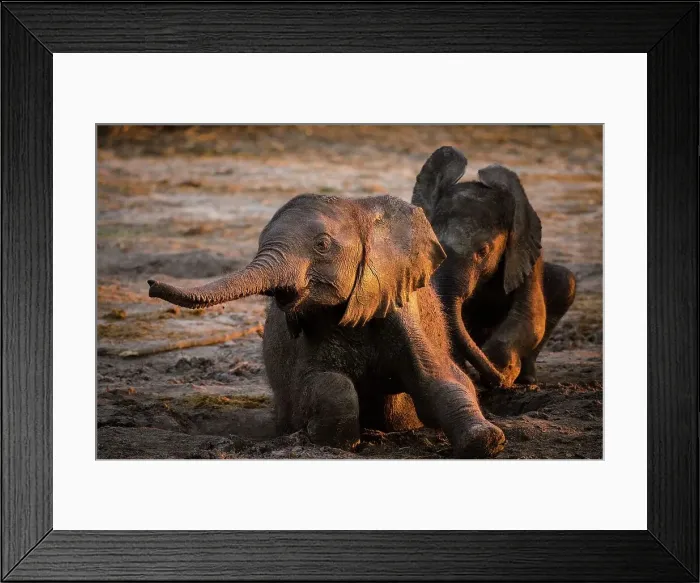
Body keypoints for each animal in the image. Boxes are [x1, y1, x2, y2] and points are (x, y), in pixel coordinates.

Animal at [147, 193, 506, 458]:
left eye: (322, 245)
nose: (151, 284)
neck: (361, 208)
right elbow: (323, 383)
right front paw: (333, 440)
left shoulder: (400, 309)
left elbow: (440, 379)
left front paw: (488, 441)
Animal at [411, 146, 576, 388]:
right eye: (437, 245)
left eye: (482, 251)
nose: (502, 380)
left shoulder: (525, 260)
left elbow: (530, 319)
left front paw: (504, 368)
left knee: (566, 282)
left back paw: (527, 379)